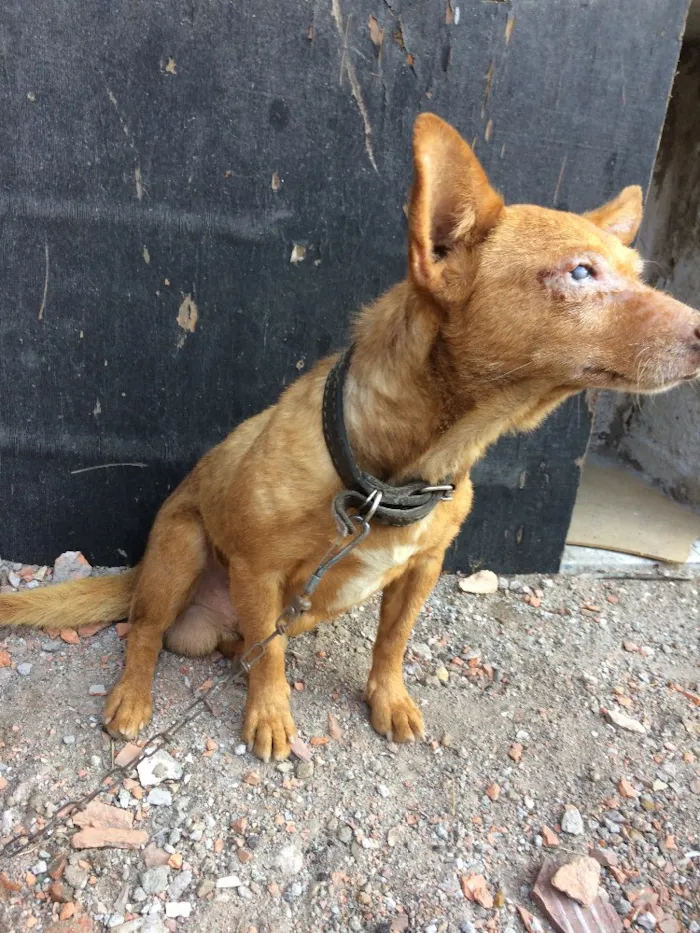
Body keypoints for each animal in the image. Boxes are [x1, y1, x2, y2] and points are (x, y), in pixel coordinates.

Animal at [1, 116, 700, 760]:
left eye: (639, 274)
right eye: (581, 274)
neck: (394, 472)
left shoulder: (422, 569)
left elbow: (391, 643)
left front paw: (386, 698)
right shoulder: (258, 572)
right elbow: (271, 659)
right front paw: (271, 714)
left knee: (240, 641)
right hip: (180, 547)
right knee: (147, 632)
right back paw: (132, 695)